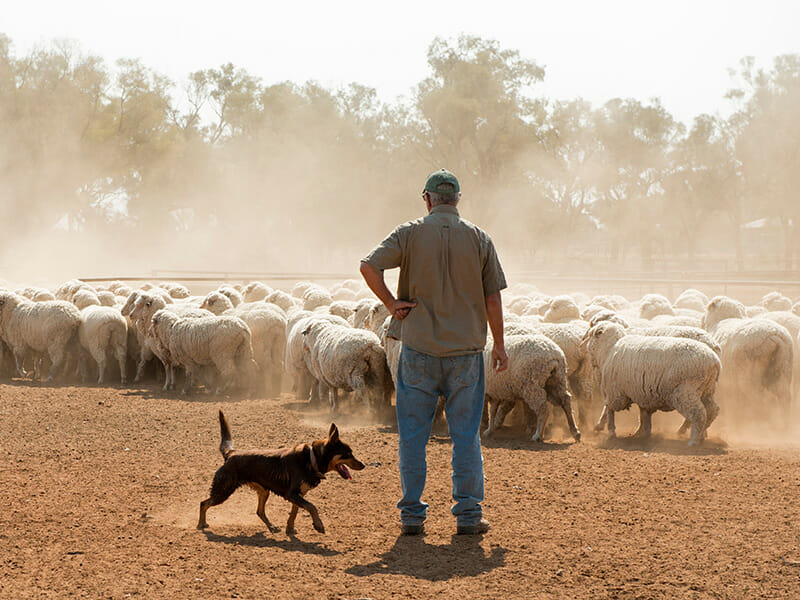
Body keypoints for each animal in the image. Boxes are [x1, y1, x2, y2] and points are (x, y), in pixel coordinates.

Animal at [198, 412, 366, 536]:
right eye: (348, 454)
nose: (363, 465)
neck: (311, 459)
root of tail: (231, 453)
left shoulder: (298, 495)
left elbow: (295, 512)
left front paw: (290, 529)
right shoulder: (292, 494)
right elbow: (312, 507)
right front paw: (318, 525)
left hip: (263, 492)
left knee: (259, 511)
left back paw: (272, 527)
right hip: (223, 490)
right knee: (204, 503)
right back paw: (201, 524)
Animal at [584, 324, 720, 446]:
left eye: (591, 335)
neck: (610, 349)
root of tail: (714, 360)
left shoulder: (615, 392)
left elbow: (609, 409)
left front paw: (609, 431)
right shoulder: (642, 393)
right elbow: (644, 414)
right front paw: (644, 434)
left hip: (685, 391)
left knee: (698, 413)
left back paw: (694, 441)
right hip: (707, 390)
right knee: (712, 410)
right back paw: (702, 434)